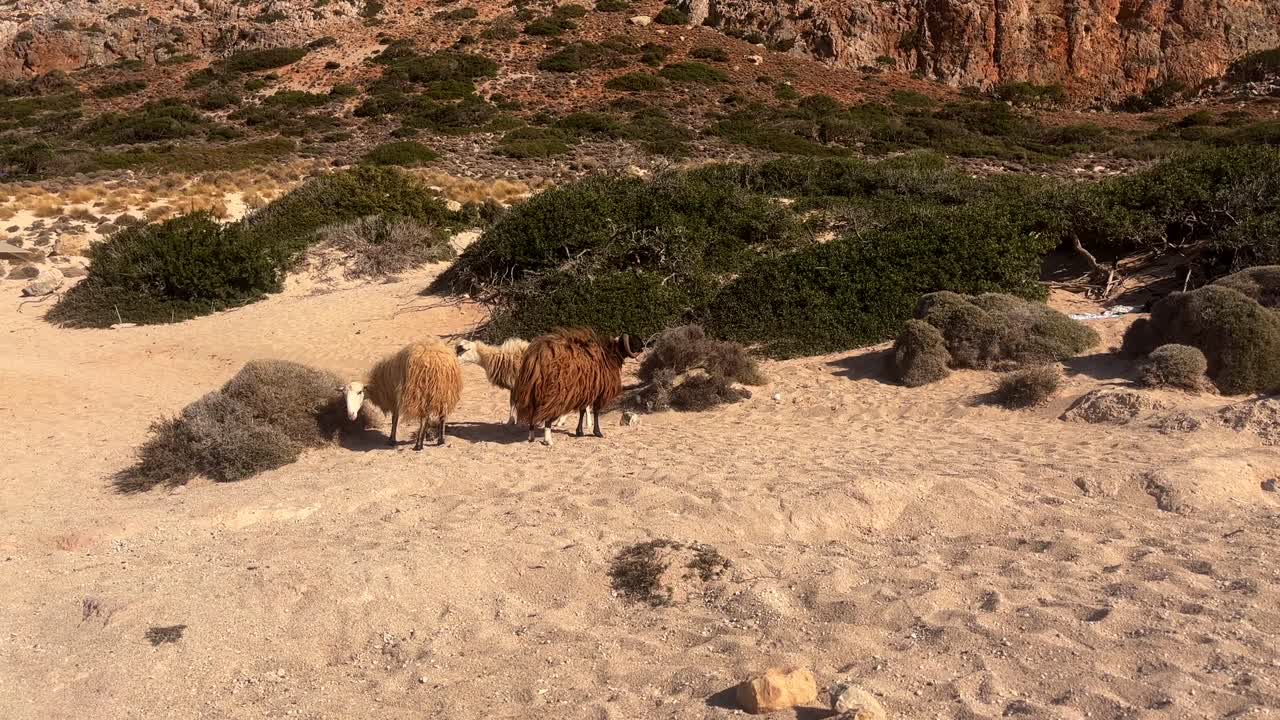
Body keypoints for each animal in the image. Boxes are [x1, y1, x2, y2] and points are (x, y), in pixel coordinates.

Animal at [455, 338, 591, 430]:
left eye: (463, 350)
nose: (455, 361)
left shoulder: (517, 385)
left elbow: (514, 403)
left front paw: (512, 421)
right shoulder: (515, 386)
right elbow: (512, 403)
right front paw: (513, 421)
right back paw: (583, 424)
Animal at [514, 328, 644, 446]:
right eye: (634, 341)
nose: (644, 347)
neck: (610, 354)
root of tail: (538, 355)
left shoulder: (585, 390)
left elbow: (582, 410)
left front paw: (579, 432)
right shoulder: (598, 391)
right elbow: (595, 411)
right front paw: (597, 432)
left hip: (532, 389)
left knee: (532, 412)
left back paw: (531, 437)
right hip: (554, 392)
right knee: (547, 414)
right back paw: (548, 440)